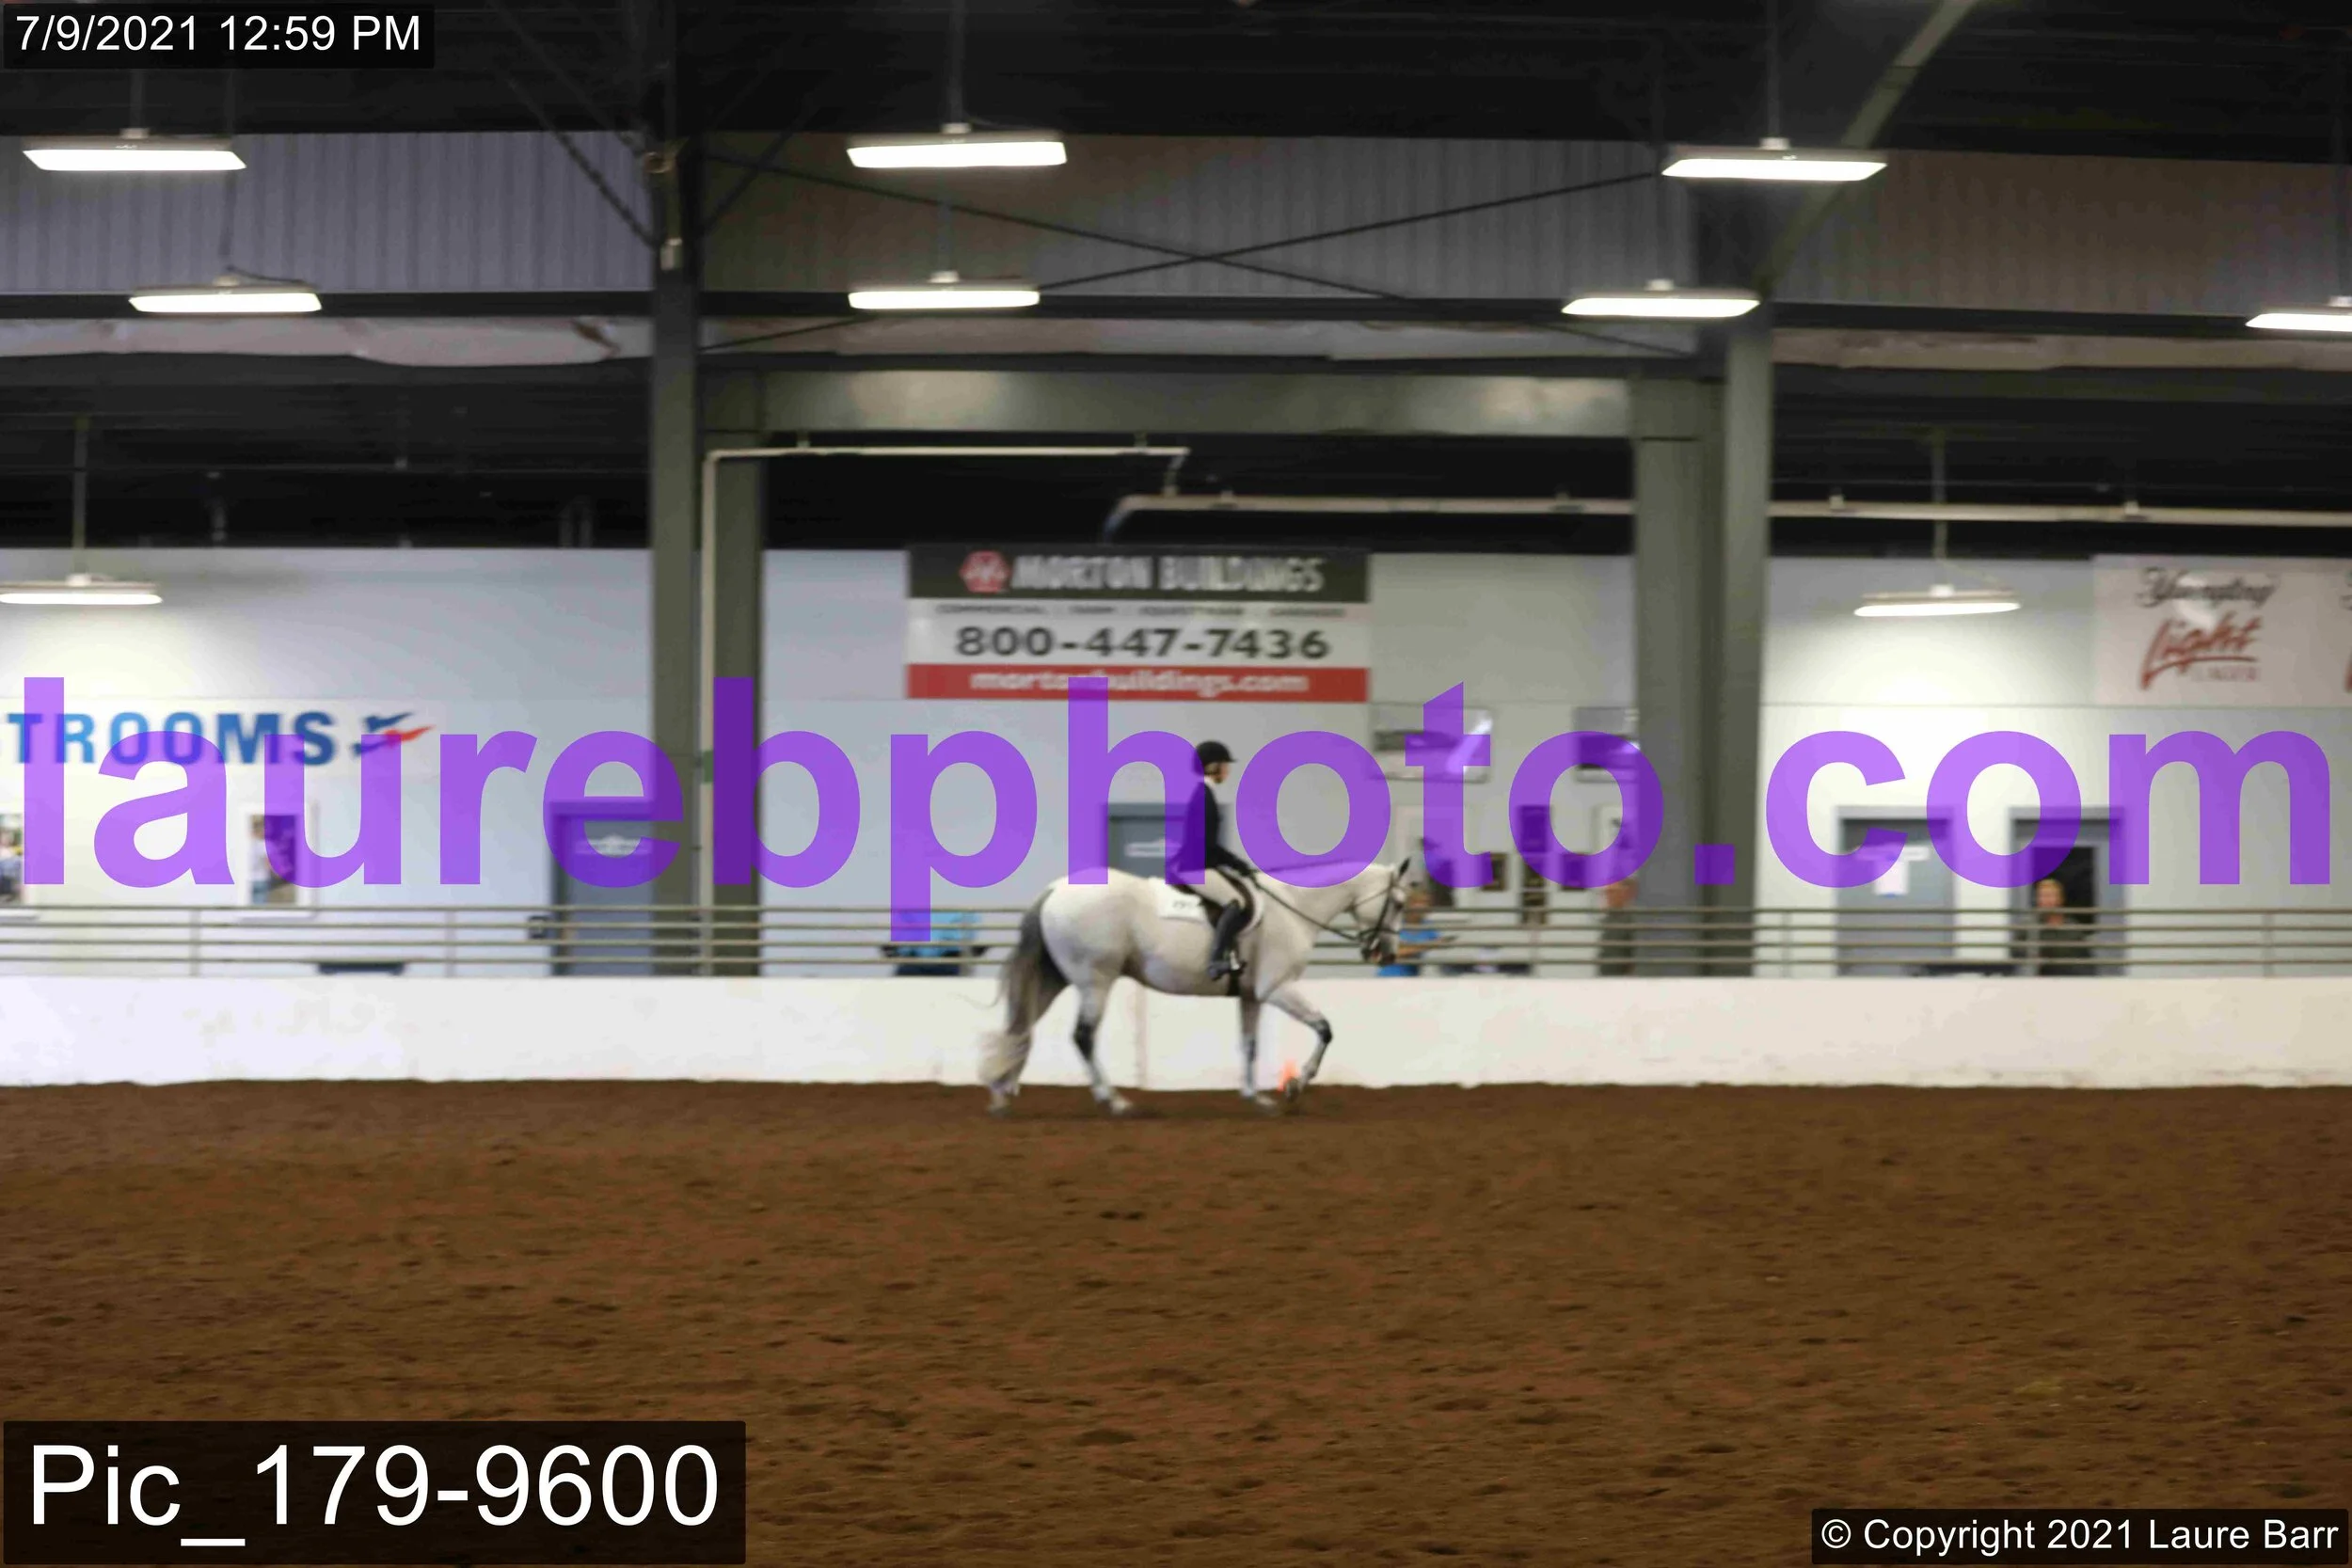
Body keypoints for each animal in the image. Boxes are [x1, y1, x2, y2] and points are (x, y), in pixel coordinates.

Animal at [978, 857, 1416, 1117]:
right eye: (1397, 903)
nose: (1387, 954)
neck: (1294, 908)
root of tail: (1055, 891)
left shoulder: (1252, 996)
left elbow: (1249, 1044)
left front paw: (1256, 1097)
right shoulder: (1277, 988)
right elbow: (1325, 1029)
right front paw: (1296, 1085)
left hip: (1056, 977)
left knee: (1020, 1026)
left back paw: (1001, 1092)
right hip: (1095, 981)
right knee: (1082, 1036)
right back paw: (1113, 1100)